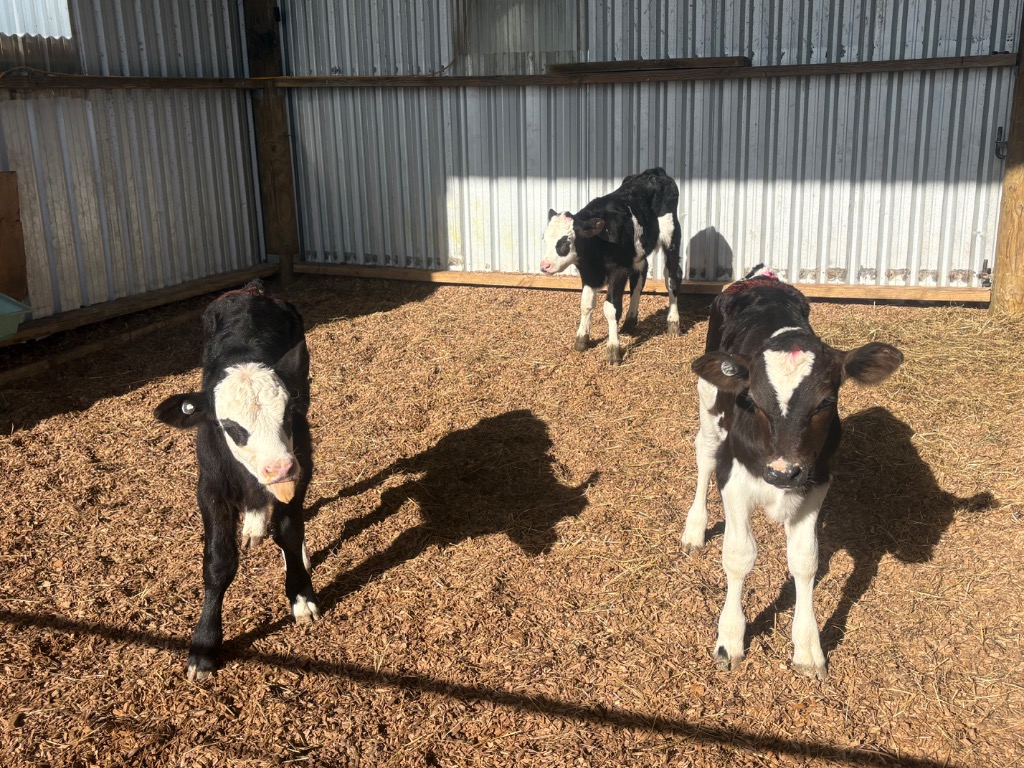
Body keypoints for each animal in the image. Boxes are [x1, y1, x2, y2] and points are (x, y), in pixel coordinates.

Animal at [153, 280, 317, 681]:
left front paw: (301, 595)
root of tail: (251, 290)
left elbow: (290, 532)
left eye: (289, 413)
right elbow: (218, 562)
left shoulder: (301, 467)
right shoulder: (210, 486)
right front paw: (204, 645)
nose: (279, 468)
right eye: (230, 426)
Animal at [541, 167, 683, 365]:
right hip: (637, 254)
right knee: (639, 279)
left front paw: (614, 350)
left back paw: (673, 322)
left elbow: (611, 308)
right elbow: (585, 304)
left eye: (565, 241)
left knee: (672, 278)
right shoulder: (589, 273)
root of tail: (654, 172)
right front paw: (581, 340)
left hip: (672, 237)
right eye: (544, 238)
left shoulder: (619, 271)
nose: (544, 265)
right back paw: (630, 322)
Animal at [681, 266, 903, 679]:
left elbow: (805, 560)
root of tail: (760, 279)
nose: (783, 474)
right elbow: (739, 554)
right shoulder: (734, 478)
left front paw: (808, 647)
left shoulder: (816, 482)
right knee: (704, 451)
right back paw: (694, 528)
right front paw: (730, 639)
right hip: (708, 397)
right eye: (752, 400)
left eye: (826, 402)